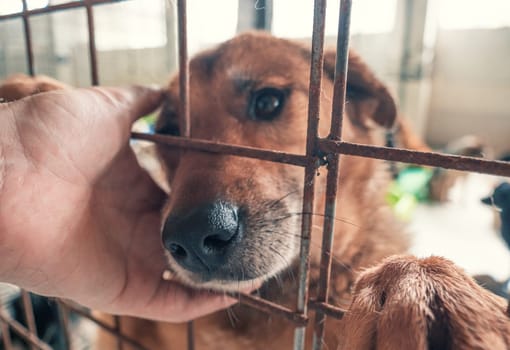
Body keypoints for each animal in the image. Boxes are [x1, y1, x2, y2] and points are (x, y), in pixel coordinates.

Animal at [1, 30, 508, 350]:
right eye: (168, 131)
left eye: (267, 101)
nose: (190, 238)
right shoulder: (119, 327)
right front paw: (30, 91)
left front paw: (424, 288)